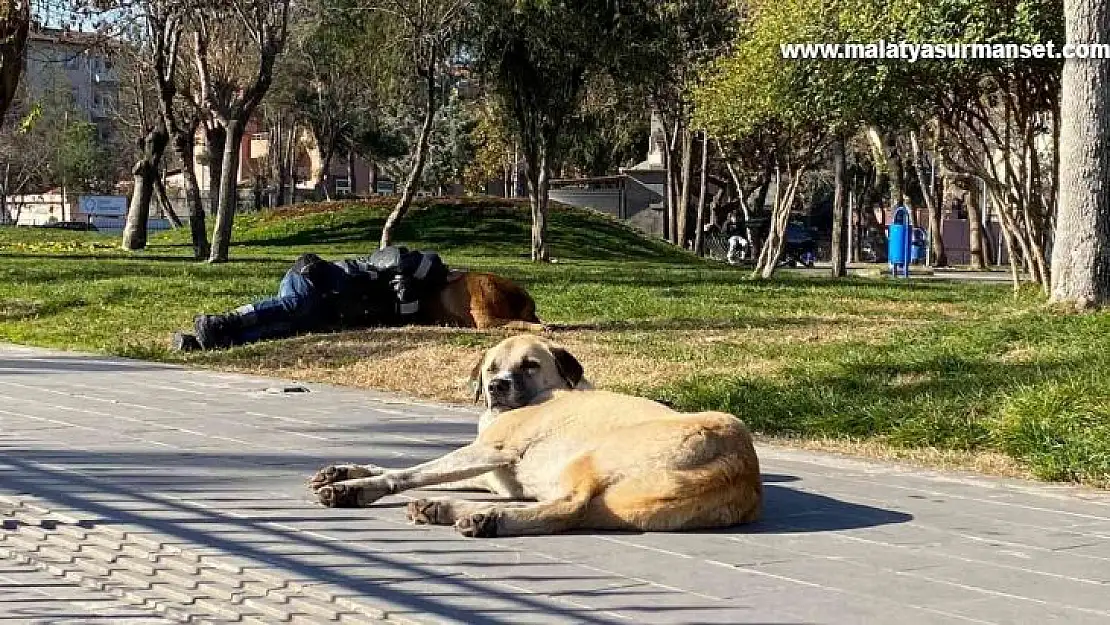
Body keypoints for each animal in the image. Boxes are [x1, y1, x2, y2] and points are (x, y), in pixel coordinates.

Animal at [313, 337, 763, 537]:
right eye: (491, 367)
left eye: (530, 364)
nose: (496, 387)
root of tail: (741, 468)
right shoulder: (489, 472)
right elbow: (416, 468)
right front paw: (344, 471)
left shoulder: (490, 450)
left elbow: (410, 472)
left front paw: (355, 488)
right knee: (576, 514)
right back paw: (451, 510)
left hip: (589, 458)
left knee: (569, 508)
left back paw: (481, 517)